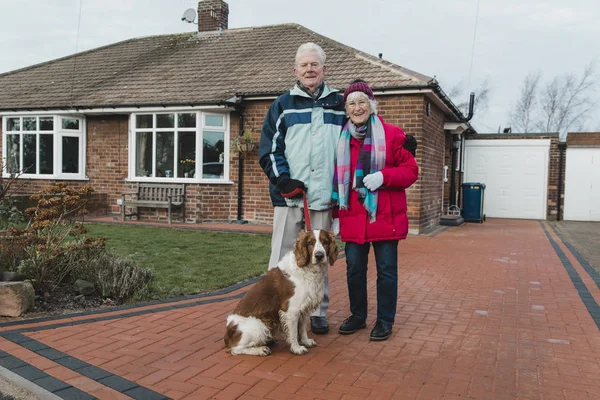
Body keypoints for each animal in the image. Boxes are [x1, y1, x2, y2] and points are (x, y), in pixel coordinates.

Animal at [224, 228, 338, 356]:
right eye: (310, 243)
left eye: (325, 242)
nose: (319, 256)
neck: (307, 270)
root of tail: (227, 334)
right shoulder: (291, 310)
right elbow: (293, 333)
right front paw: (296, 348)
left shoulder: (303, 307)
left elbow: (302, 328)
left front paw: (305, 341)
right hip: (258, 326)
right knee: (236, 348)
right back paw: (260, 349)